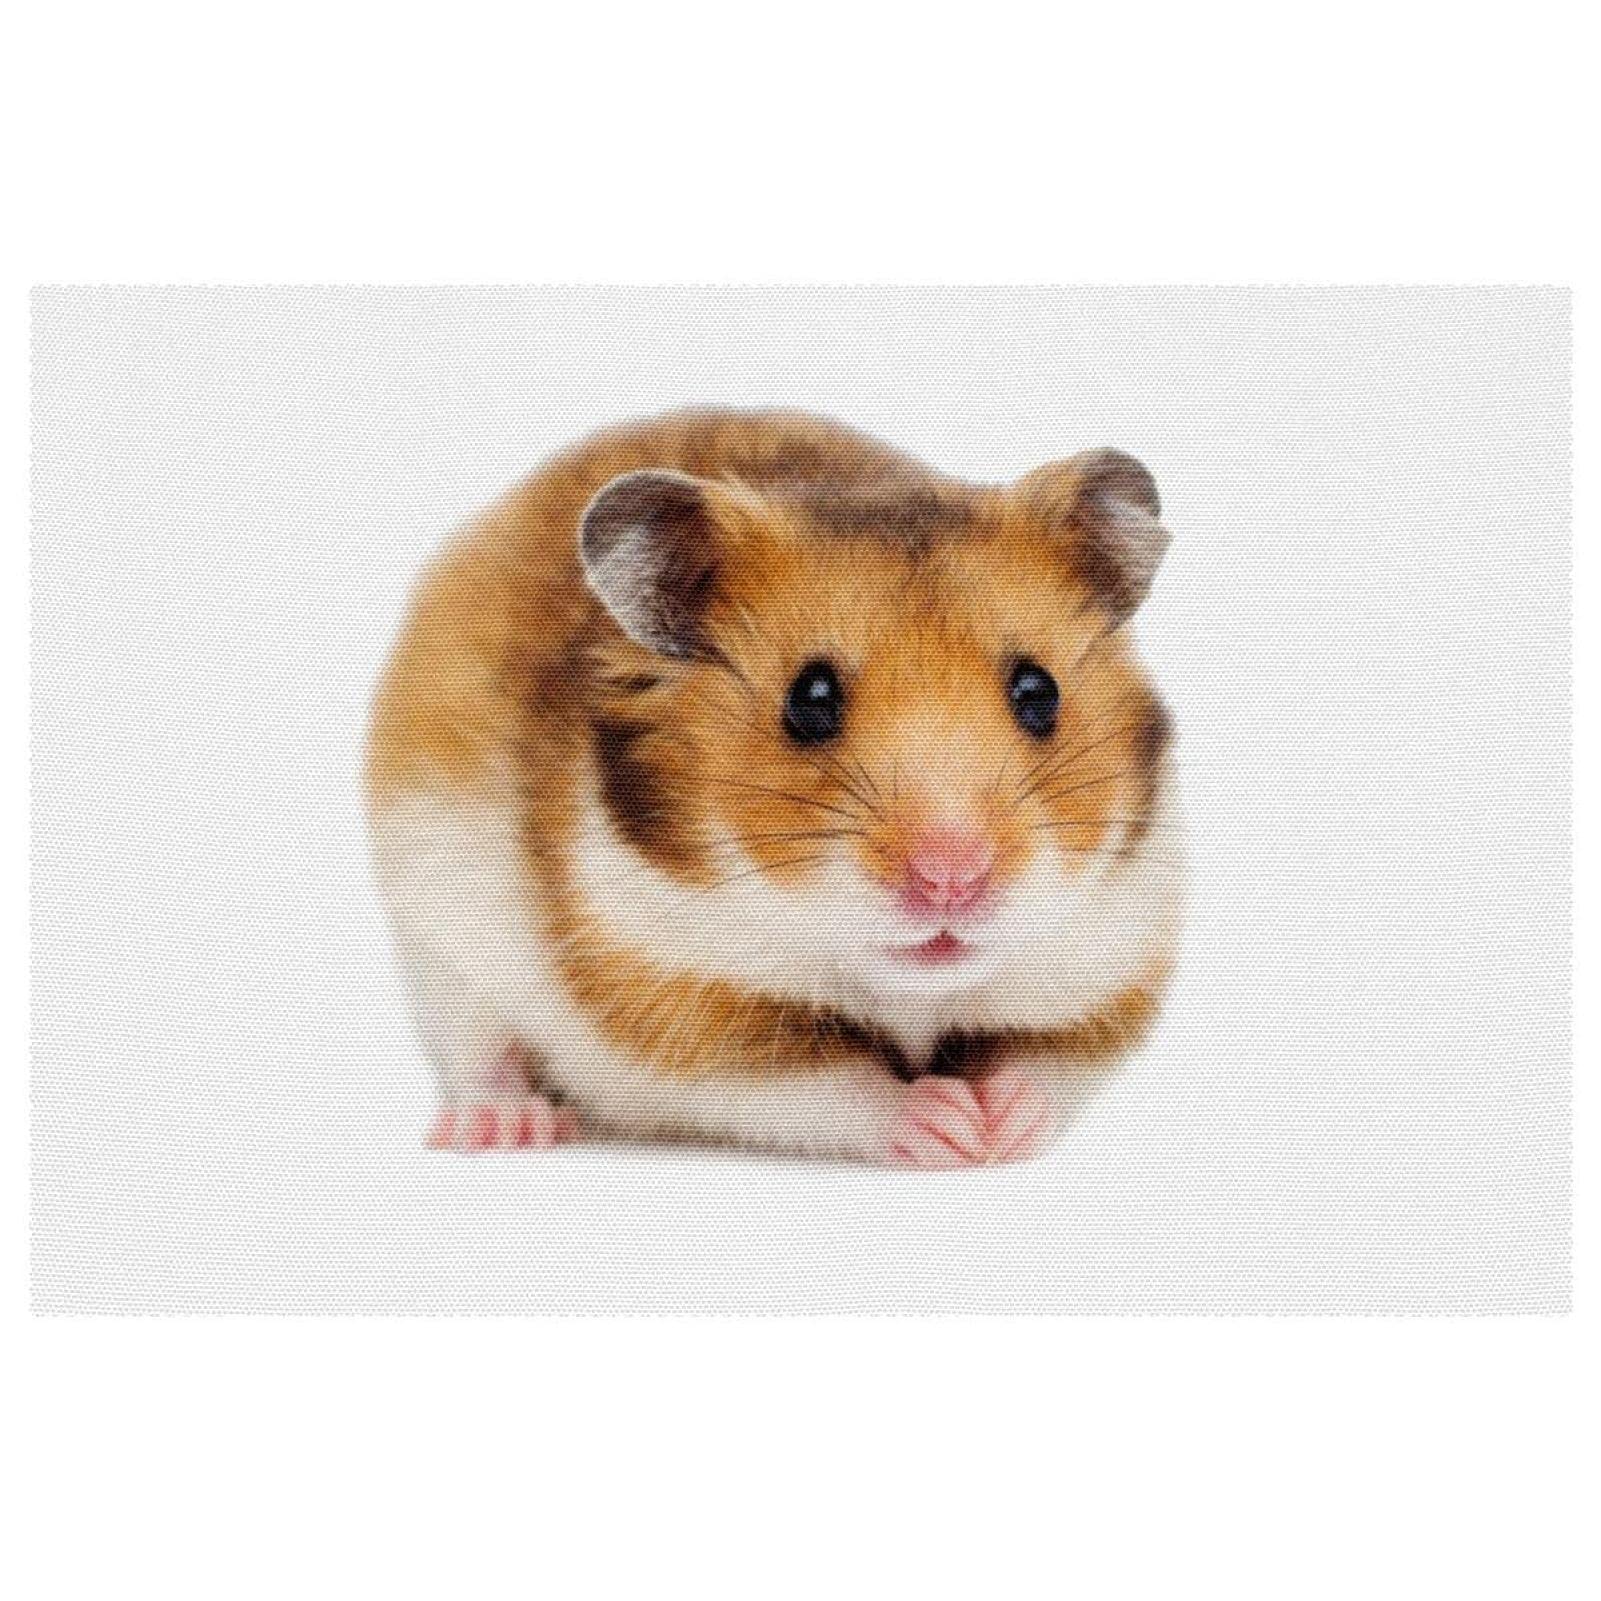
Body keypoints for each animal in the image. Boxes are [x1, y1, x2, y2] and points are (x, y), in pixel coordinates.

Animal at [365, 409, 1182, 1165]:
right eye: (810, 699)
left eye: (1038, 691)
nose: (951, 879)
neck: (908, 990)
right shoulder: (675, 1009)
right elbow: (832, 1087)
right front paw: (946, 1123)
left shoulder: (1109, 969)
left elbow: (1047, 1067)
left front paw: (999, 1127)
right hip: (440, 944)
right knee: (479, 1050)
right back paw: (507, 1127)